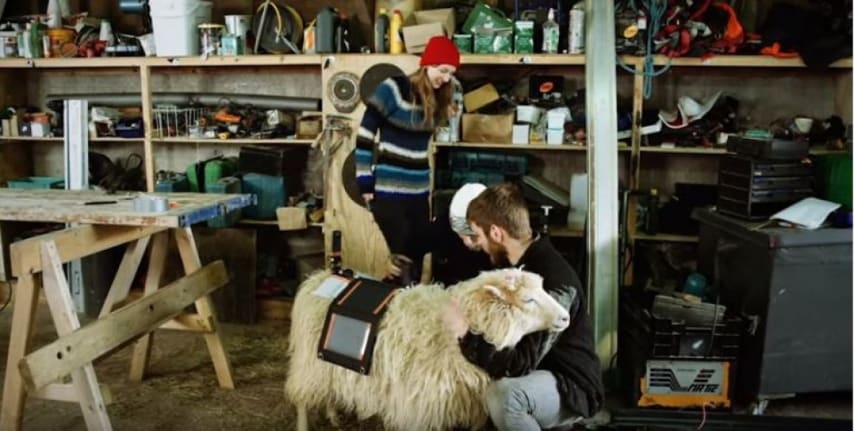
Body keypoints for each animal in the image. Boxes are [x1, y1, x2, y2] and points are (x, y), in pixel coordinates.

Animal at [285, 267, 571, 431]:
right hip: (309, 362)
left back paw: (334, 416)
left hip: (327, 367)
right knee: (301, 399)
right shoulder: (419, 403)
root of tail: (316, 278)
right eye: (528, 299)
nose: (566, 317)